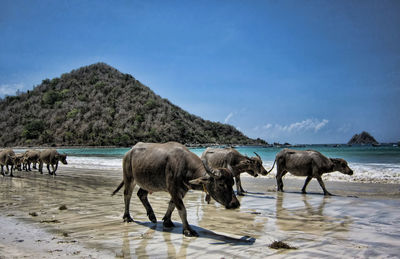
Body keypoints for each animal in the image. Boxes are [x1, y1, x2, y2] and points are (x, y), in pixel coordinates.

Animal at [111, 142, 239, 238]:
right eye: (221, 184)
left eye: (232, 183)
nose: (236, 204)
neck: (185, 166)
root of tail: (129, 152)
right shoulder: (173, 189)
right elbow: (182, 210)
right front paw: (187, 229)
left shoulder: (181, 191)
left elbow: (172, 204)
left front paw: (167, 221)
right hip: (129, 178)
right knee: (127, 195)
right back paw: (127, 217)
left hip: (148, 182)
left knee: (141, 194)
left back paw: (152, 216)